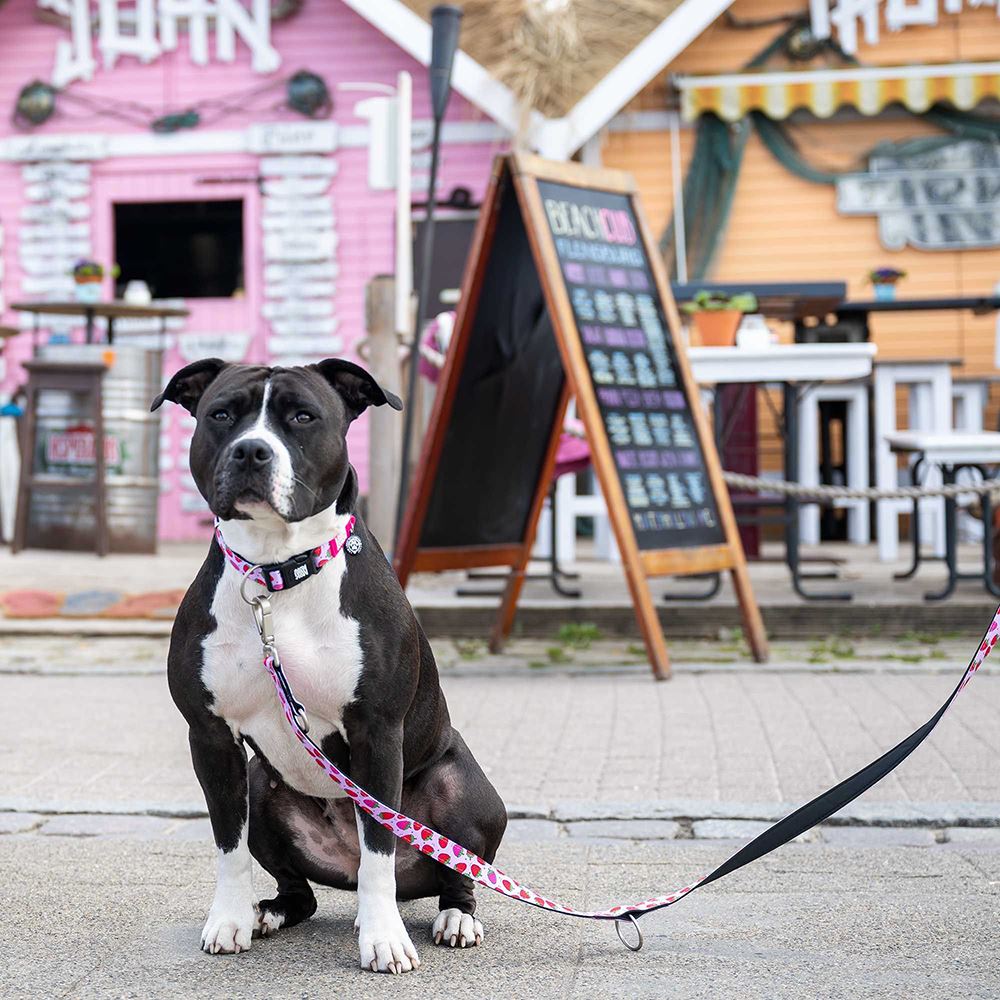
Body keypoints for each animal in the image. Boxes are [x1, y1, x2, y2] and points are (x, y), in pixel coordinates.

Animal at [154, 360, 508, 976]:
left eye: (302, 416)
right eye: (221, 414)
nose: (251, 451)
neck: (276, 575)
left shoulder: (376, 734)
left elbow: (379, 849)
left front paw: (385, 939)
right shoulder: (211, 738)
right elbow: (227, 842)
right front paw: (229, 920)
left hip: (463, 791)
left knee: (454, 871)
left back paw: (454, 917)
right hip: (262, 785)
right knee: (304, 889)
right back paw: (270, 912)